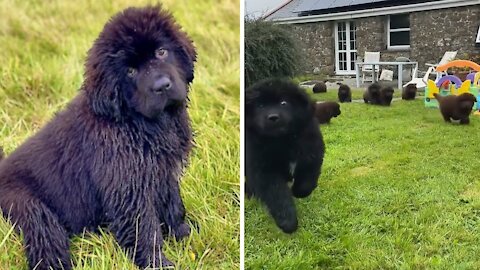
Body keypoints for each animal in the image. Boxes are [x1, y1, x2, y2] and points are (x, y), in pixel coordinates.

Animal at [0, 4, 195, 270]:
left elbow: (173, 203)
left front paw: (183, 233)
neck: (137, 123)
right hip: (26, 204)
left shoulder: (163, 171)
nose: (162, 86)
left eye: (162, 52)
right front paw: (156, 262)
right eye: (130, 71)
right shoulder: (128, 186)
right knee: (45, 236)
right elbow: (144, 228)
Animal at [246, 78, 324, 234]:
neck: (283, 140)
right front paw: (288, 222)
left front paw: (297, 192)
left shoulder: (312, 152)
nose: (273, 117)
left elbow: (306, 182)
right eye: (260, 105)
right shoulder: (264, 169)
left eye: (284, 103)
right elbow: (277, 195)